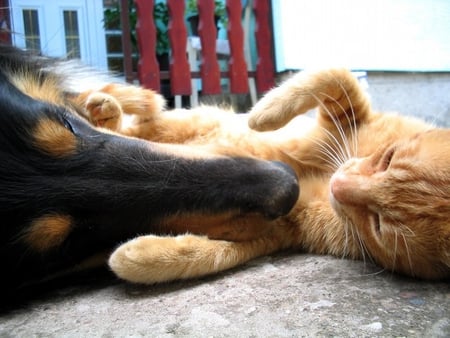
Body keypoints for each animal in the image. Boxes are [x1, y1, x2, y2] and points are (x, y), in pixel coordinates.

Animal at [79, 69, 448, 282]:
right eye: (388, 159)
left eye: (379, 223)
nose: (337, 185)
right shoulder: (345, 117)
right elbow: (333, 76)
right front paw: (264, 113)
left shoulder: (277, 229)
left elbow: (208, 254)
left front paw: (136, 257)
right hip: (186, 121)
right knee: (131, 127)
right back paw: (104, 109)